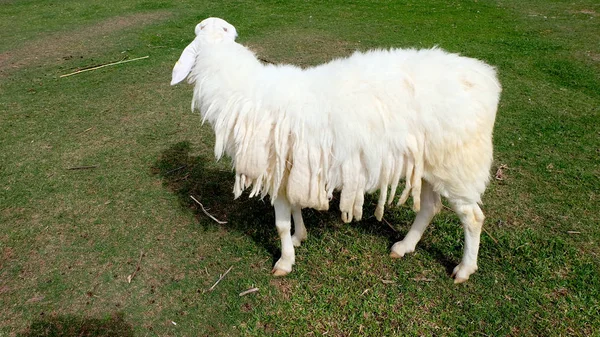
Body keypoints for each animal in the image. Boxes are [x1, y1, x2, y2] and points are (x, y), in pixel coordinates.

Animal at [172, 17, 502, 280]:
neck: (242, 90)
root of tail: (486, 79)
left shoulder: (276, 172)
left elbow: (279, 224)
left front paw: (285, 261)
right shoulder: (294, 170)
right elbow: (295, 209)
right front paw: (300, 236)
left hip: (459, 164)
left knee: (473, 218)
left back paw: (464, 269)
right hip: (432, 164)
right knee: (430, 207)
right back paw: (404, 246)